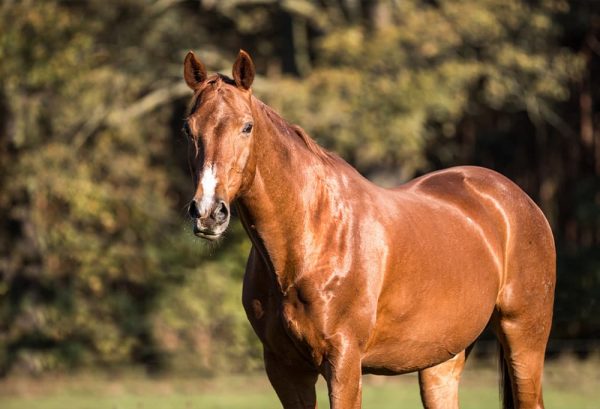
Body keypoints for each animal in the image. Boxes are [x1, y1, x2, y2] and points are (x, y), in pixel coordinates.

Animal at [180, 49, 556, 406]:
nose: (208, 212)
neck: (311, 239)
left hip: (523, 337)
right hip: (442, 359)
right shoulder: (285, 369)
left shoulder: (344, 361)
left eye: (247, 127)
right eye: (188, 129)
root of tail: (516, 198)